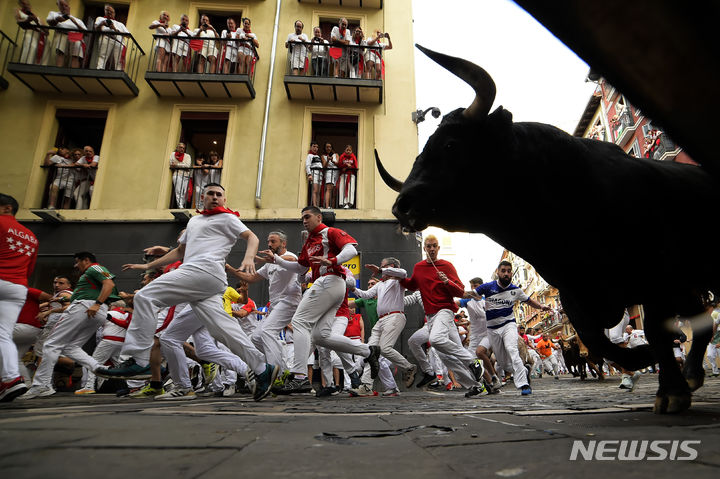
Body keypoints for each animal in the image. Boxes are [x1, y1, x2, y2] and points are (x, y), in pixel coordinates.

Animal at [376, 45, 720, 414]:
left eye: (451, 144)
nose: (401, 205)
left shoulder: (659, 276)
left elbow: (654, 331)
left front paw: (670, 389)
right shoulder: (574, 293)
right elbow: (598, 340)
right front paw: (648, 360)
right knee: (703, 320)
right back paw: (691, 371)